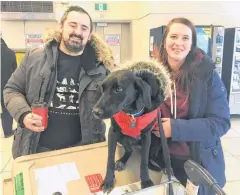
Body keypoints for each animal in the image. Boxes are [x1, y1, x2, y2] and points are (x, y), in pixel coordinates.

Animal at [92, 61, 171, 193]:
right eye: (103, 89)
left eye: (118, 89)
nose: (95, 112)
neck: (132, 114)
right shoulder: (113, 132)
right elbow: (110, 159)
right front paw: (108, 181)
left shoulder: (146, 136)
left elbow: (144, 161)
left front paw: (145, 180)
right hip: (122, 137)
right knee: (129, 150)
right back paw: (122, 161)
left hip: (159, 137)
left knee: (151, 155)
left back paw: (165, 166)